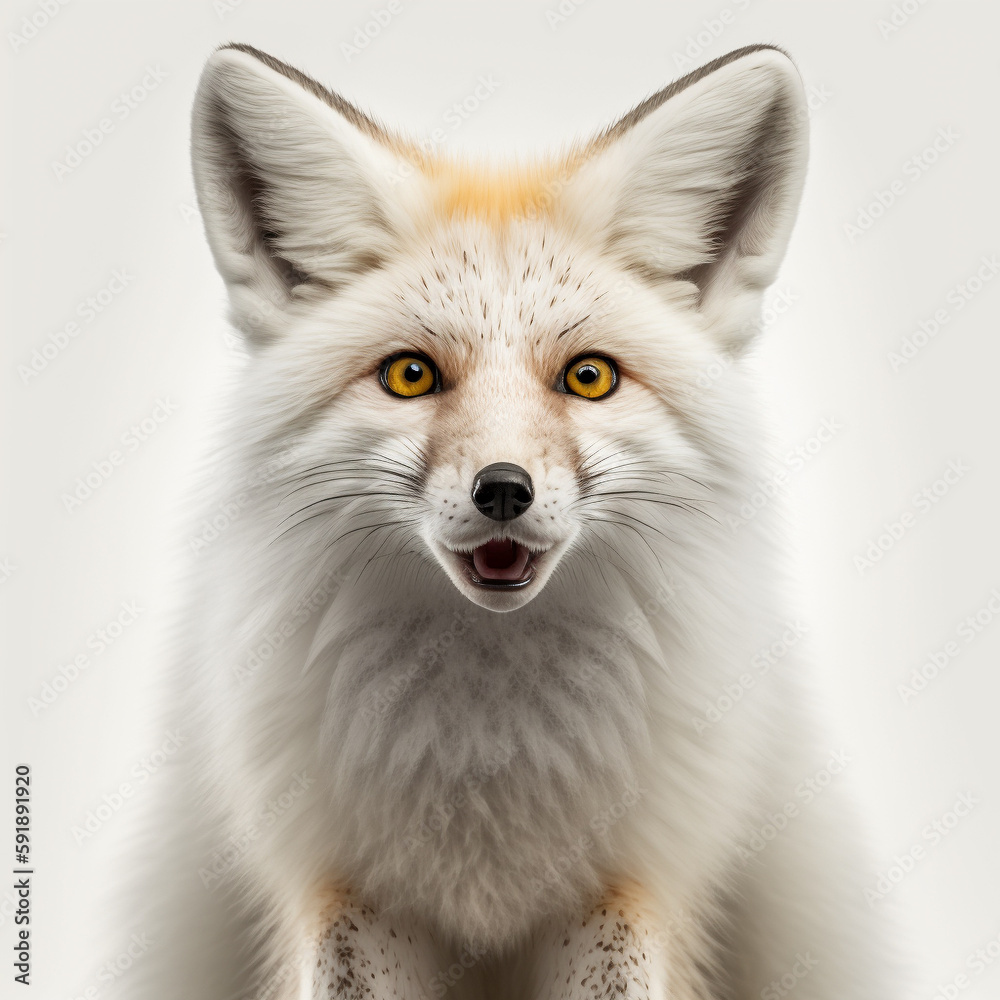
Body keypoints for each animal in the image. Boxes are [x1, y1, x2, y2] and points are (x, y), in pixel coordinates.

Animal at [114, 41, 900, 1000]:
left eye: (590, 377)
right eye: (410, 375)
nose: (502, 490)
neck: (487, 755)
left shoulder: (632, 886)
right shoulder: (343, 887)